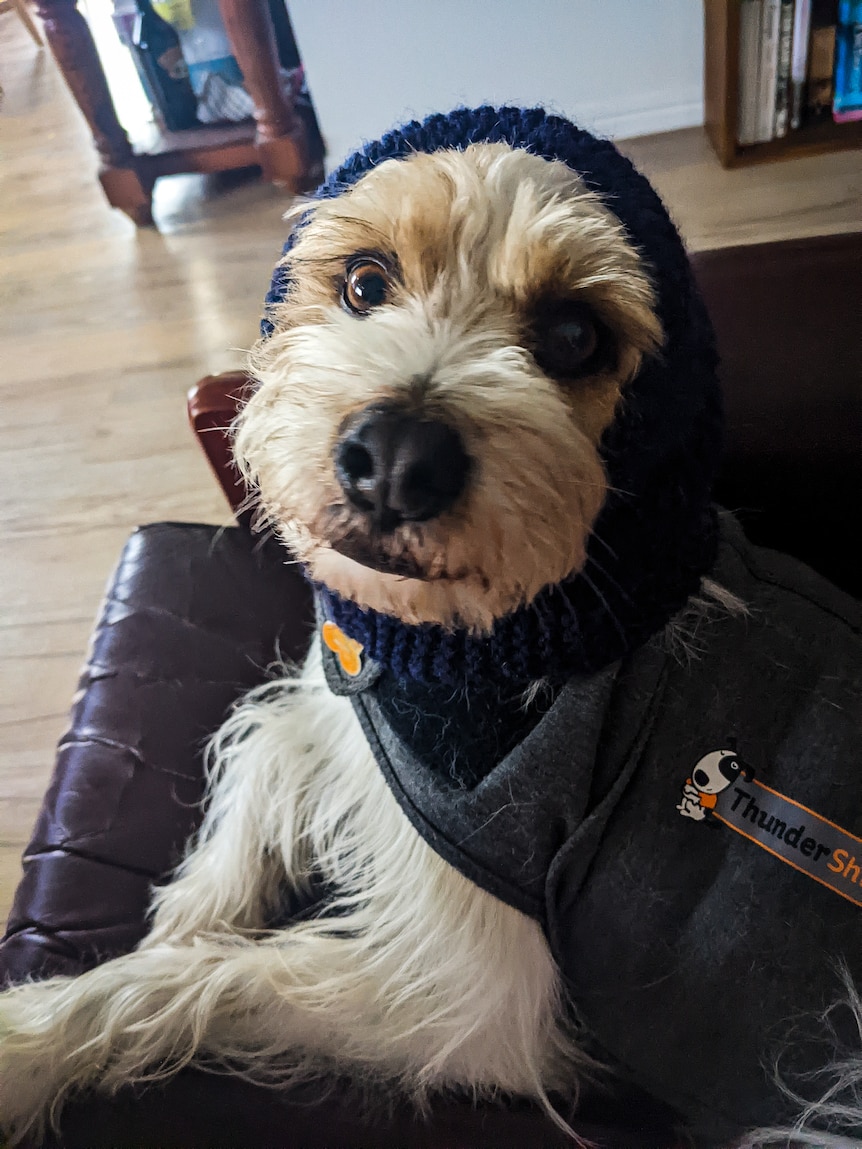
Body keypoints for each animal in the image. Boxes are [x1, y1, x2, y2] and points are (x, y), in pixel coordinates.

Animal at [1, 109, 862, 1149]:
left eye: (575, 335)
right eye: (365, 283)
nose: (396, 457)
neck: (460, 644)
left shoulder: (461, 994)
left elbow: (200, 980)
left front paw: (30, 1041)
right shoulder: (350, 707)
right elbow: (272, 747)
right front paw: (191, 907)